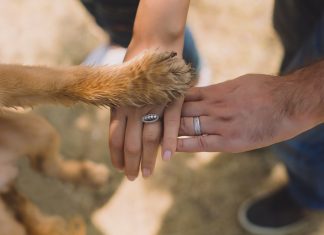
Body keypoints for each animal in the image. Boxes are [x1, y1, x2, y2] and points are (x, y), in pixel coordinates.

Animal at [0, 51, 194, 235]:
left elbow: (64, 79)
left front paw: (146, 81)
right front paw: (147, 79)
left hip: (39, 129)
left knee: (44, 166)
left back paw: (88, 175)